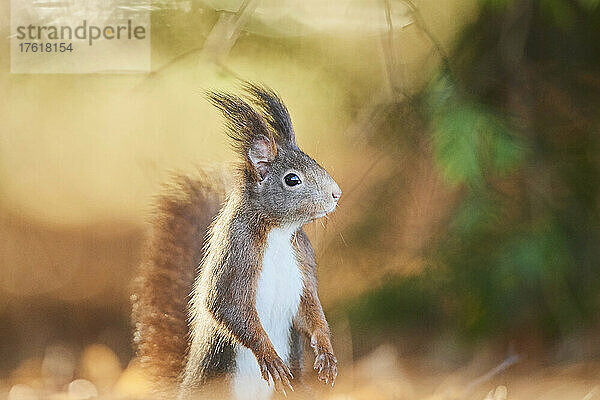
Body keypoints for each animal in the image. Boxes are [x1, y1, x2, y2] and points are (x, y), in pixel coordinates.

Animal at [132, 83, 342, 398]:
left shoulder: (303, 261)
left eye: (314, 161)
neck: (279, 232)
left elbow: (310, 309)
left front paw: (326, 352)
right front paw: (269, 356)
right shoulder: (236, 253)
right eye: (292, 179)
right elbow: (228, 306)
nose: (336, 193)